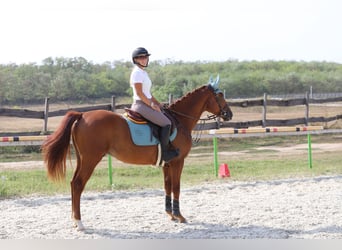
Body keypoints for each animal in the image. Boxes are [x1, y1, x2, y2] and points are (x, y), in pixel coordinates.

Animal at [41, 76, 231, 230]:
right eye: (220, 95)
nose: (229, 114)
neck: (180, 119)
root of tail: (81, 115)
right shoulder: (178, 162)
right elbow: (176, 187)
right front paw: (180, 216)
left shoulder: (167, 164)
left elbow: (167, 186)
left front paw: (170, 215)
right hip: (90, 160)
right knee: (78, 184)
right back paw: (80, 223)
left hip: (82, 159)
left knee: (73, 184)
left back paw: (74, 221)